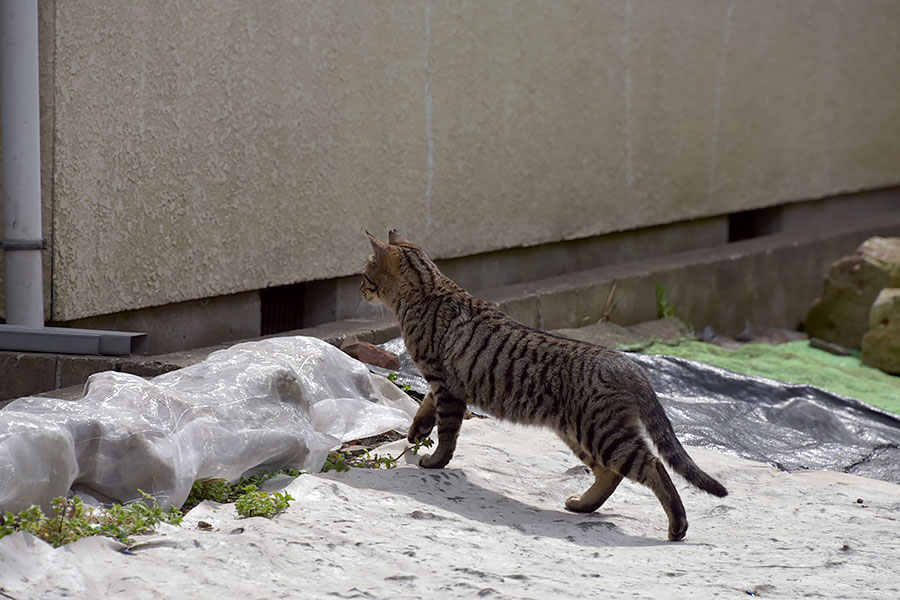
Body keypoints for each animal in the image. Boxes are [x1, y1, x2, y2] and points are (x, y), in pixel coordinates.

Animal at [362, 230, 728, 540]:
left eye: (364, 274)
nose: (359, 290)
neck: (429, 288)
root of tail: (627, 362)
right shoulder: (441, 384)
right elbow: (425, 409)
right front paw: (416, 432)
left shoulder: (445, 384)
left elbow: (447, 434)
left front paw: (435, 459)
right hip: (579, 434)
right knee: (610, 474)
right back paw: (582, 504)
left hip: (602, 433)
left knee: (651, 466)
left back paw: (677, 525)